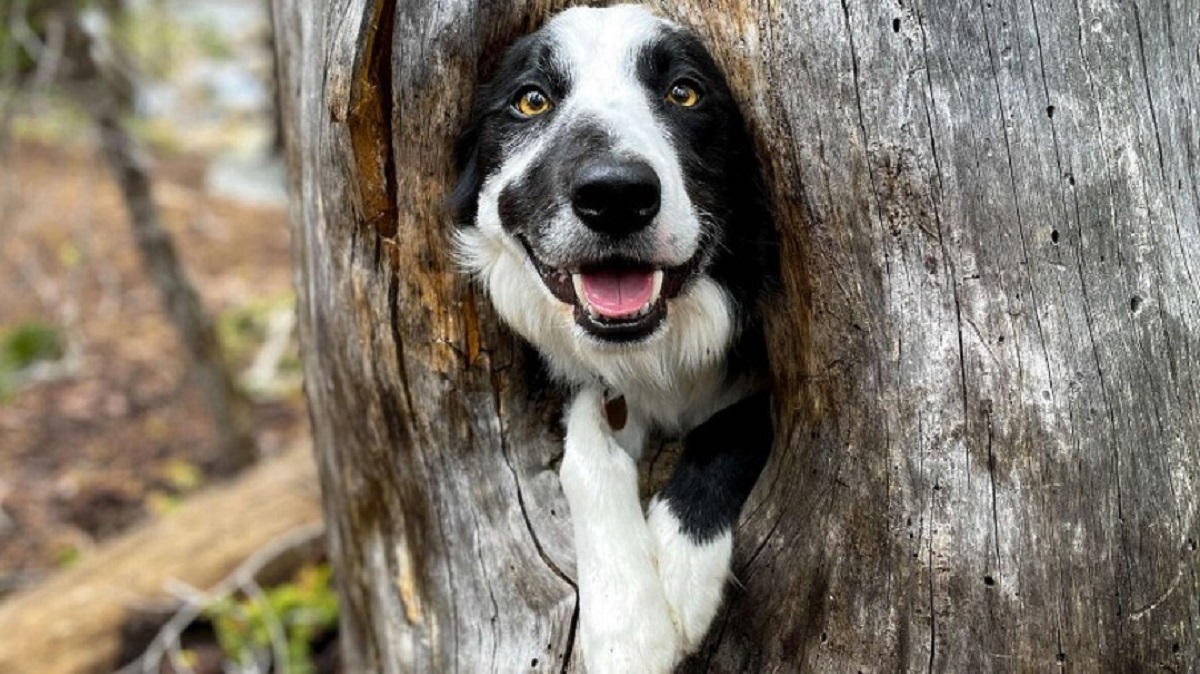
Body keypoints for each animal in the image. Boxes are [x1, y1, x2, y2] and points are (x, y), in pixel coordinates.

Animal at [451, 3, 777, 666]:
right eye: (531, 100)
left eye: (684, 92)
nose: (616, 194)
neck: (658, 356)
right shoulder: (598, 391)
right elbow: (585, 452)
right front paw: (625, 628)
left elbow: (736, 422)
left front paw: (680, 571)